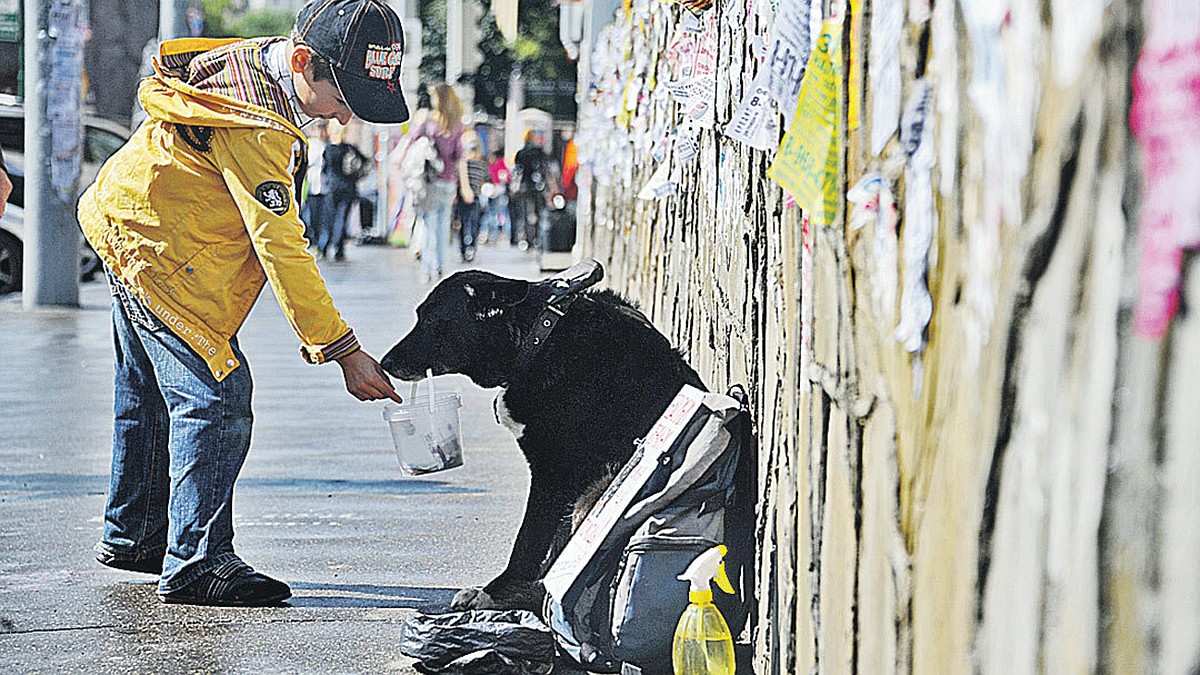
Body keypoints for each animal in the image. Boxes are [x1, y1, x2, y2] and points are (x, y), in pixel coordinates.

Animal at [384, 263, 700, 610]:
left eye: (429, 320)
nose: (385, 363)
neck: (538, 338)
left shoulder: (555, 476)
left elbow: (529, 544)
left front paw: (495, 591)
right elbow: (550, 551)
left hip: (598, 493)